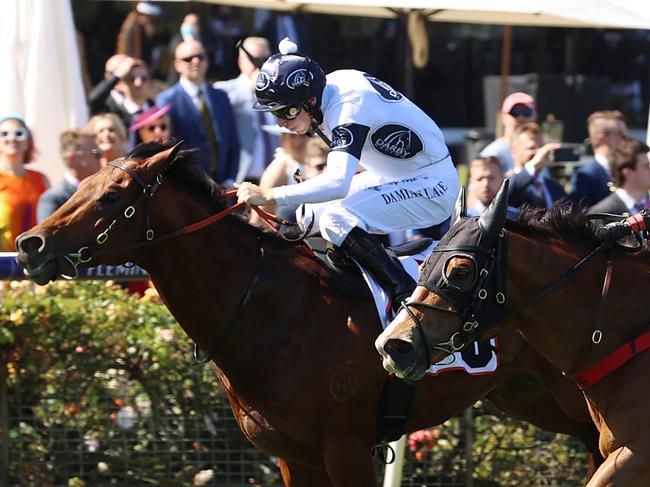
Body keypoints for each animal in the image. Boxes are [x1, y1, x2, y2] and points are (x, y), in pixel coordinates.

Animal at [16, 144, 604, 484]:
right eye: (82, 183)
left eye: (113, 195)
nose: (29, 244)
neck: (268, 310)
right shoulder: (291, 455)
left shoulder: (346, 447)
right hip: (534, 396)